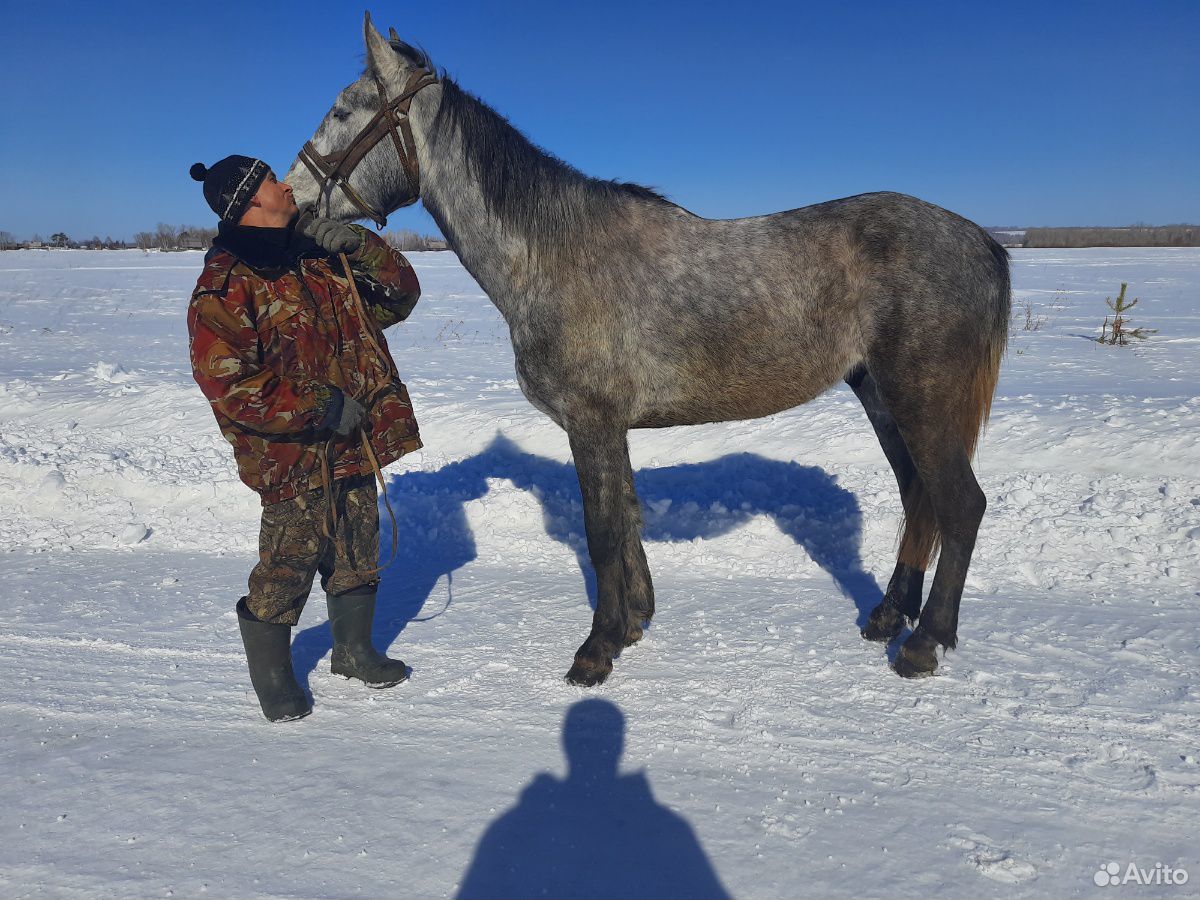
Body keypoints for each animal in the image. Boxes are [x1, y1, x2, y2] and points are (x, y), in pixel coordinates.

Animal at [285, 17, 1008, 686]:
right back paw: (889, 617)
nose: (291, 201)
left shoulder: (592, 422)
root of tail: (977, 237)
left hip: (921, 401)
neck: (551, 254)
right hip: (883, 398)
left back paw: (923, 643)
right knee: (920, 499)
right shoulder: (612, 428)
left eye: (343, 111)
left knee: (960, 505)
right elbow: (626, 521)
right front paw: (631, 623)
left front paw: (596, 649)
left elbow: (603, 531)